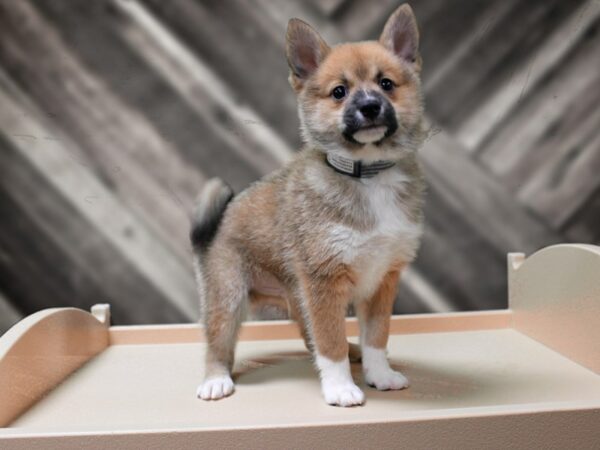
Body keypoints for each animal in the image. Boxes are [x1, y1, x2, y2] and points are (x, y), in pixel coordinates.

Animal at [192, 3, 426, 406]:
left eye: (386, 84)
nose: (369, 106)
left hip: (296, 295)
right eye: (339, 92)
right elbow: (329, 342)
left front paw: (379, 374)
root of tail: (215, 224)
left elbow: (376, 337)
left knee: (308, 334)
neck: (367, 176)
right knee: (217, 344)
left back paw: (354, 352)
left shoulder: (383, 280)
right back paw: (215, 380)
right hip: (228, 297)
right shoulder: (324, 283)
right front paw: (340, 388)